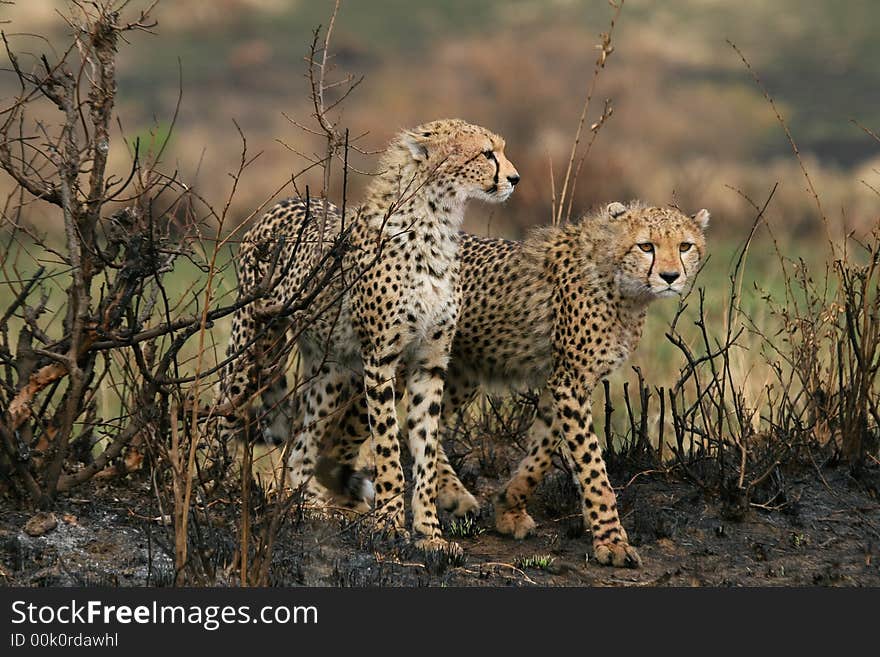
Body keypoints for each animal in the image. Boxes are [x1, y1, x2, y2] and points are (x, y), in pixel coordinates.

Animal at [217, 116, 520, 548]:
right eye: (486, 153)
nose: (514, 178)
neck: (436, 224)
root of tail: (286, 201)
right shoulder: (380, 359)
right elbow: (389, 446)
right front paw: (390, 523)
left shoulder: (430, 363)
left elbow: (425, 449)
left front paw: (430, 531)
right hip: (257, 344)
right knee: (221, 411)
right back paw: (205, 487)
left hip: (331, 370)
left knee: (301, 442)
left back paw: (308, 507)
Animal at [322, 200, 708, 564]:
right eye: (646, 246)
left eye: (685, 246)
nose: (671, 276)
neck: (619, 280)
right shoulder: (570, 381)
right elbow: (593, 467)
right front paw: (611, 542)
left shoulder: (563, 382)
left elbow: (543, 451)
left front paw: (509, 507)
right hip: (396, 365)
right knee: (353, 430)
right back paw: (337, 504)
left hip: (457, 371)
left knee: (412, 429)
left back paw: (453, 496)